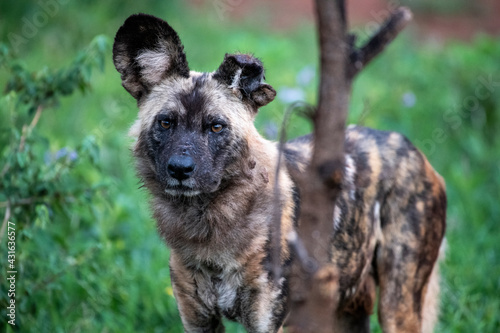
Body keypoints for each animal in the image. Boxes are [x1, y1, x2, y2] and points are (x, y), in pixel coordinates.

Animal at [112, 13, 446, 332]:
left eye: (216, 127)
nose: (180, 169)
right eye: (166, 122)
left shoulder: (267, 322)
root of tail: (410, 147)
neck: (209, 231)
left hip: (396, 307)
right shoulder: (198, 321)